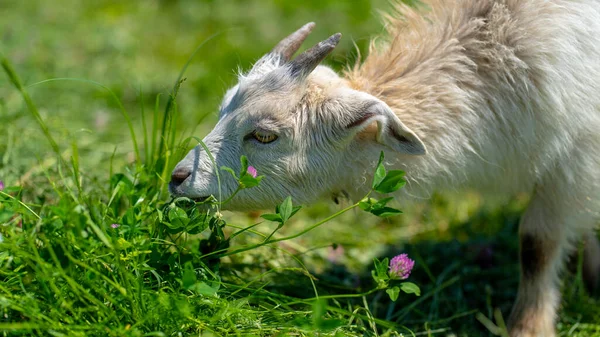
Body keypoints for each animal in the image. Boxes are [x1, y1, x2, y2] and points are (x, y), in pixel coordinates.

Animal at [170, 1, 600, 334]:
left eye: (263, 135)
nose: (177, 178)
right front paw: (592, 280)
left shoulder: (577, 158)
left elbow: (536, 245)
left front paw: (529, 327)